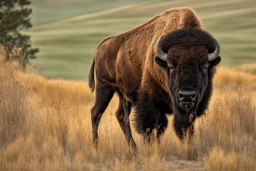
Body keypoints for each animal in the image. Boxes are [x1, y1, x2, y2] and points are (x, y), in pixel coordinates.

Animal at [87, 7, 220, 148]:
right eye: (171, 66)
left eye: (204, 66)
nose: (187, 95)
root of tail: (103, 45)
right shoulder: (151, 102)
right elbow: (149, 127)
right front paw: (151, 147)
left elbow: (172, 127)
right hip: (104, 87)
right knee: (96, 113)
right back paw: (96, 146)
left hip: (121, 94)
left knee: (121, 115)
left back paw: (134, 148)